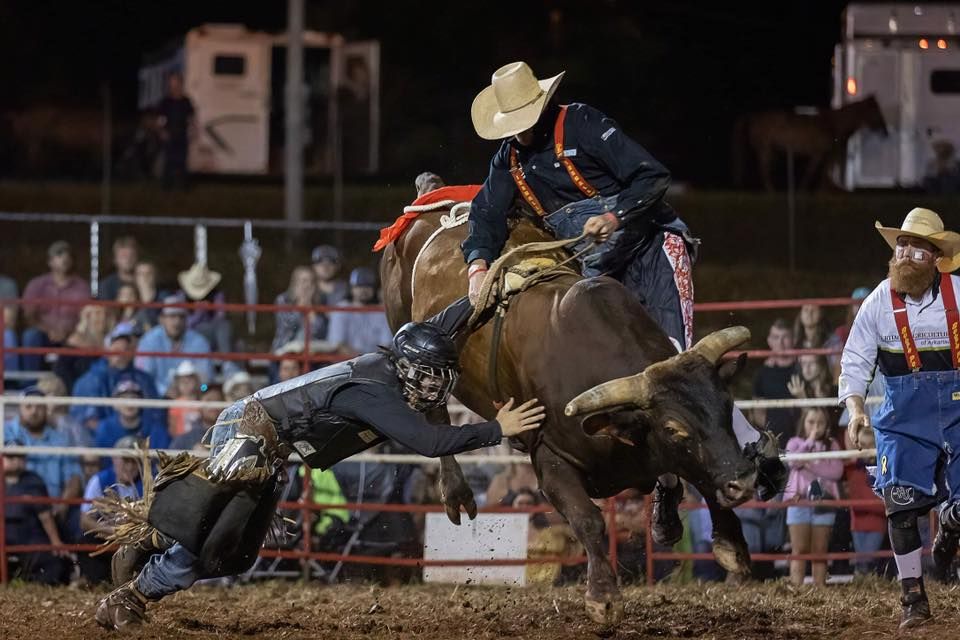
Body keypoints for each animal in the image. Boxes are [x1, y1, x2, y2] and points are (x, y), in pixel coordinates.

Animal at [380, 201, 756, 624]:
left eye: (727, 407)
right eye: (674, 428)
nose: (745, 482)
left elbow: (703, 475)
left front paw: (731, 543)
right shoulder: (549, 459)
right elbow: (589, 520)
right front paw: (603, 596)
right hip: (403, 323)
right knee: (436, 414)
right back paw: (456, 491)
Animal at [740, 95, 888, 190]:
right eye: (876, 111)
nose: (886, 131)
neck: (834, 124)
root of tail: (754, 116)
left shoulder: (825, 155)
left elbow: (821, 177)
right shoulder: (820, 154)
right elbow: (812, 174)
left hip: (770, 150)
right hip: (765, 150)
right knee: (764, 171)